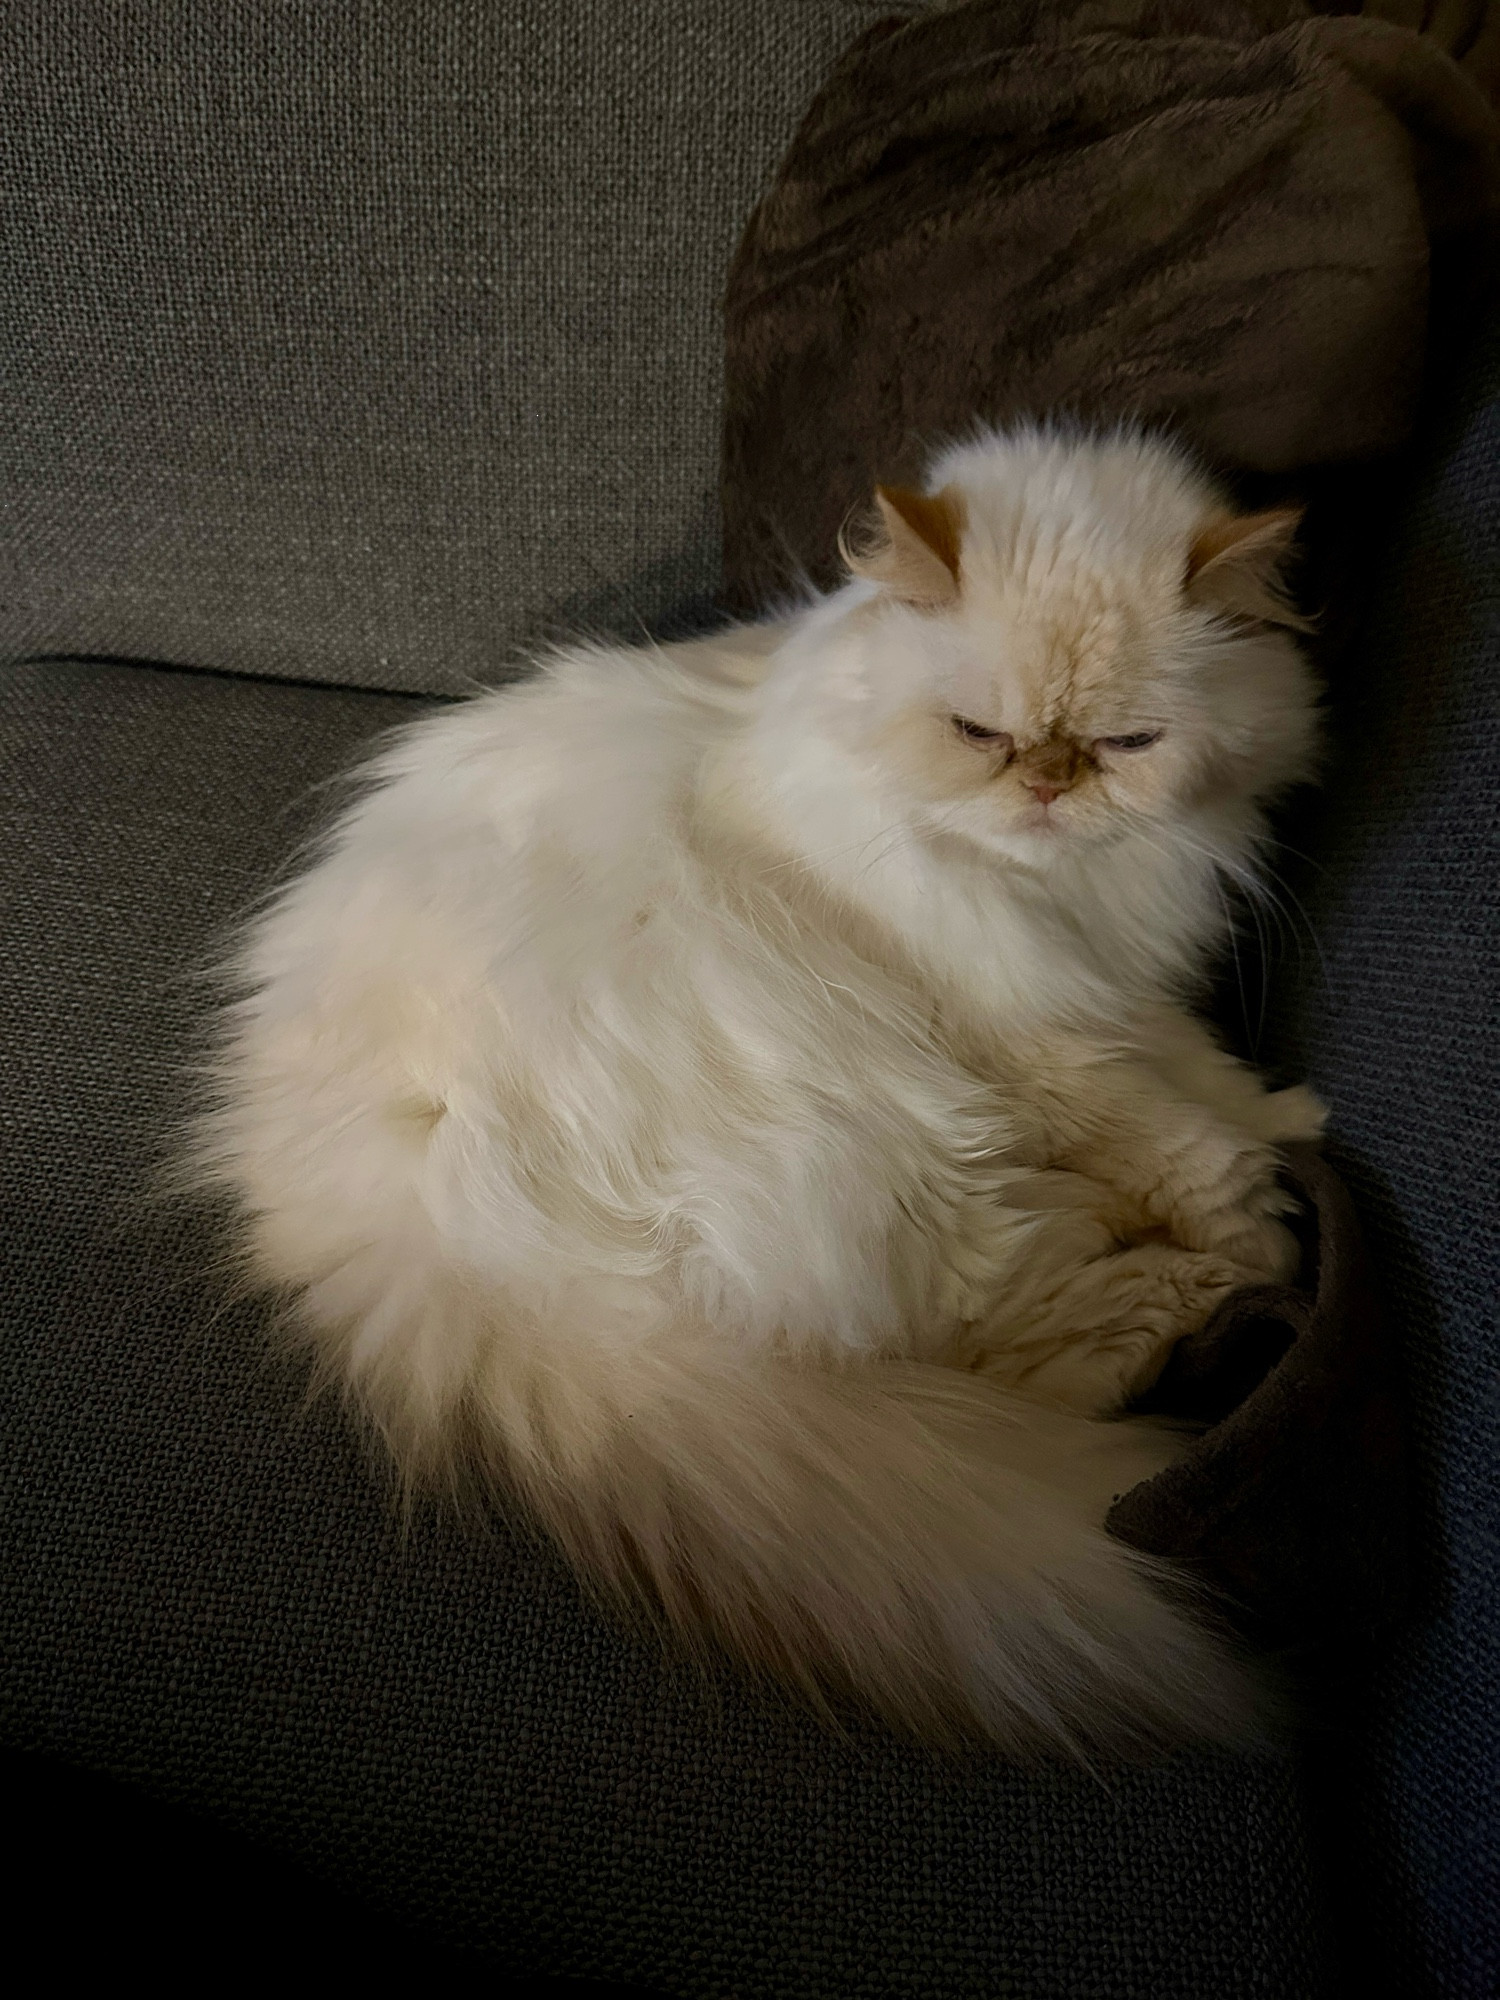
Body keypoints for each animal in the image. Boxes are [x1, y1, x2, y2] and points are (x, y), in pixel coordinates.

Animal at [197, 418, 1328, 1752]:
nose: (1049, 786)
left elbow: (1207, 1077)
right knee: (1030, 1335)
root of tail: (395, 1207)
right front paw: (1261, 1214)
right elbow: (1178, 1138)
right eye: (981, 734)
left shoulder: (1117, 994)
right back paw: (1213, 1282)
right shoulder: (1021, 1032)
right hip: (895, 1110)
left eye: (1125, 745)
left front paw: (1295, 1116)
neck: (1055, 892)